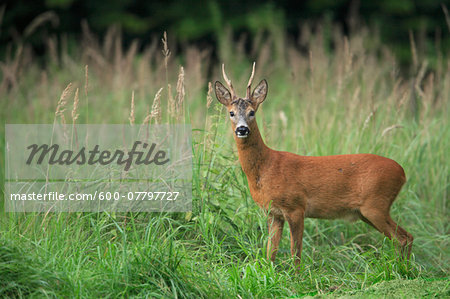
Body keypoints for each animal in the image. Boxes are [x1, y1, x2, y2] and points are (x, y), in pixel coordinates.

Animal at [216, 62, 414, 264]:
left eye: (252, 112)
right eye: (231, 113)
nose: (242, 129)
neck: (265, 168)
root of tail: (402, 172)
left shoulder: (296, 206)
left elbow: (296, 252)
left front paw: (295, 272)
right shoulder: (273, 213)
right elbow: (270, 252)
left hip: (375, 204)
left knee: (404, 238)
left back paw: (401, 268)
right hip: (367, 211)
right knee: (405, 237)